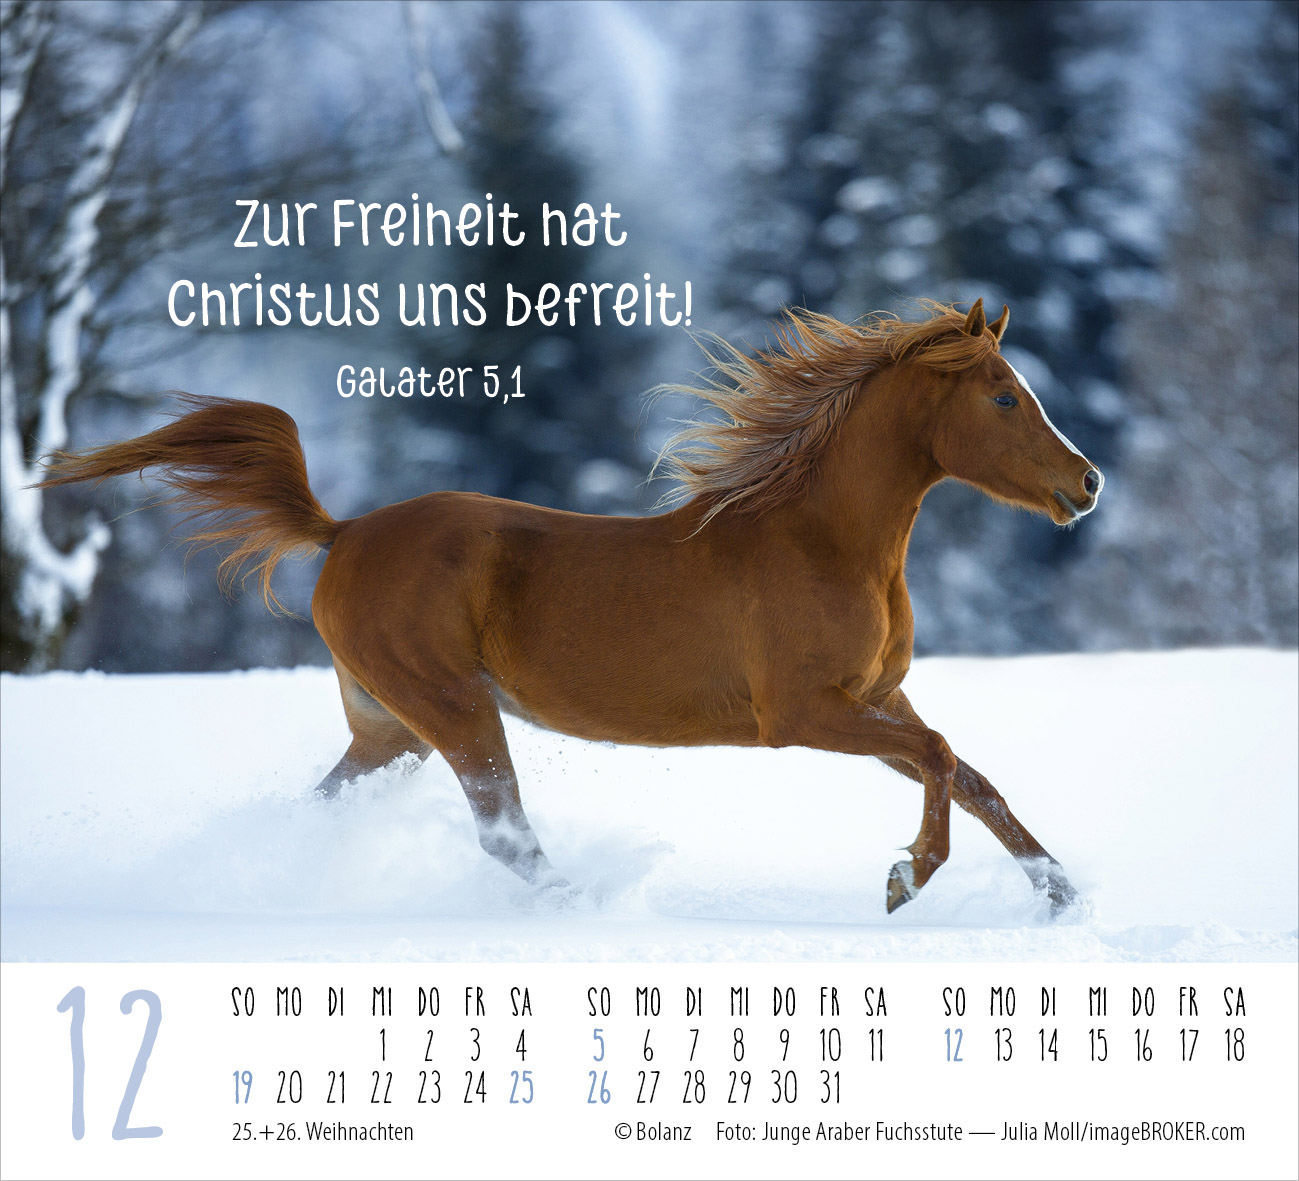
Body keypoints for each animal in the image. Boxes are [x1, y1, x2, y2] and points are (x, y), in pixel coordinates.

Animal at [41, 298, 1103, 916]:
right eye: (1004, 397)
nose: (1087, 483)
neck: (821, 541)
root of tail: (339, 533)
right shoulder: (802, 713)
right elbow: (942, 759)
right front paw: (904, 878)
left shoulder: (877, 699)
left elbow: (969, 772)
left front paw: (1060, 892)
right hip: (455, 708)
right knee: (502, 832)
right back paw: (592, 898)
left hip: (391, 728)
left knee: (330, 806)